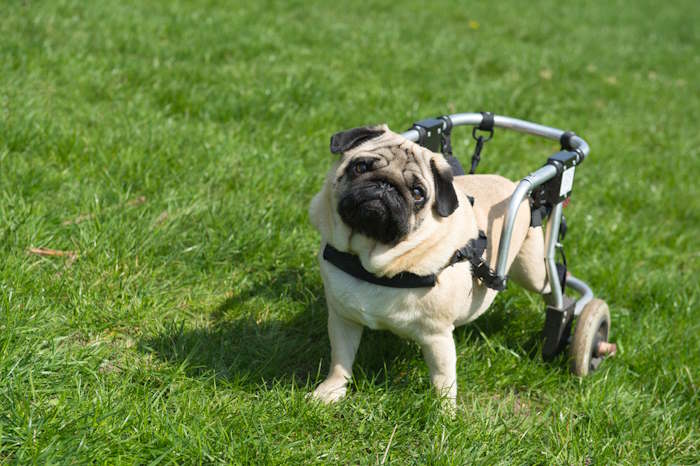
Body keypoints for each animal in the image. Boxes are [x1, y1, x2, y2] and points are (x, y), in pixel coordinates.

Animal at [308, 124, 548, 404]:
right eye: (361, 167)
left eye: (417, 193)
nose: (386, 185)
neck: (370, 261)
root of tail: (512, 185)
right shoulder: (343, 319)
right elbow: (340, 361)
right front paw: (331, 392)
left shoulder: (437, 337)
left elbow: (444, 381)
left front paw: (445, 412)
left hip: (532, 270)